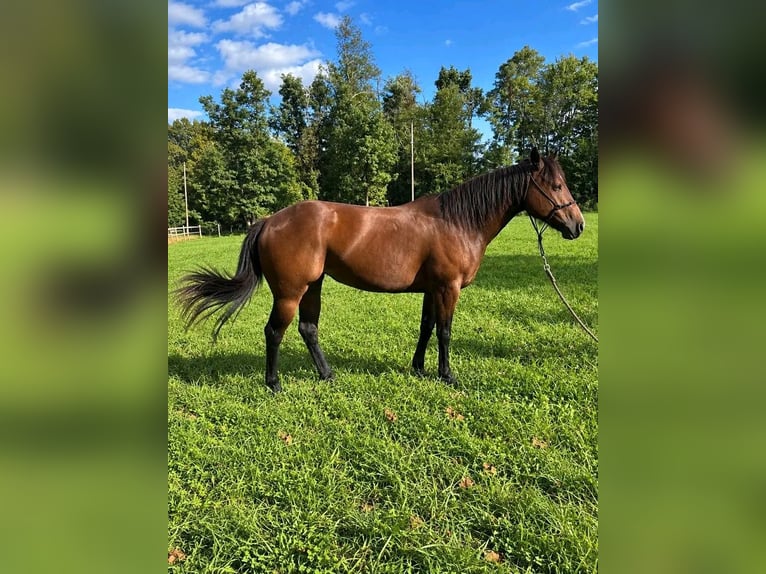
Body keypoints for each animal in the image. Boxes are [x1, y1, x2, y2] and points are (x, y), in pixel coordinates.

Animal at [177, 149, 585, 392]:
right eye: (555, 185)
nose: (577, 225)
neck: (457, 222)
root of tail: (269, 220)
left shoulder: (432, 289)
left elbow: (427, 327)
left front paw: (419, 368)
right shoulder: (447, 288)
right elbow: (445, 332)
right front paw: (447, 375)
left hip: (313, 287)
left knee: (308, 329)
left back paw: (327, 374)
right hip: (291, 292)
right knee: (275, 332)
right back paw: (274, 383)